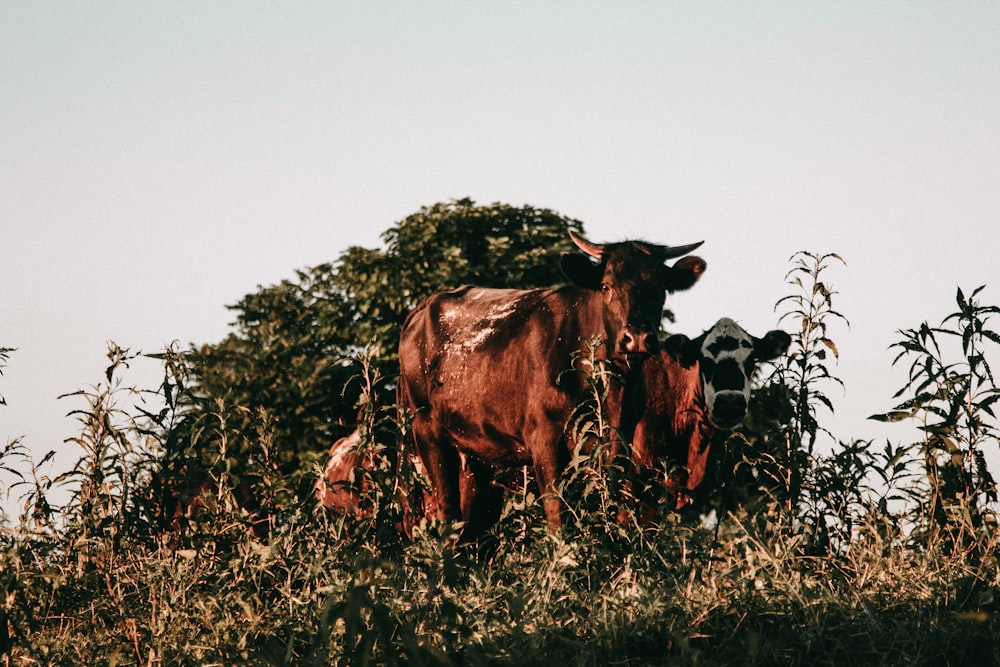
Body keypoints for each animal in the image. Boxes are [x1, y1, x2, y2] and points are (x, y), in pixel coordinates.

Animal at [396, 232, 704, 536]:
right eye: (606, 286)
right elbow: (559, 515)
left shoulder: (620, 442)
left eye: (661, 288)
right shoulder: (544, 439)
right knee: (444, 514)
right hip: (427, 432)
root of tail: (421, 310)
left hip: (475, 455)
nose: (637, 338)